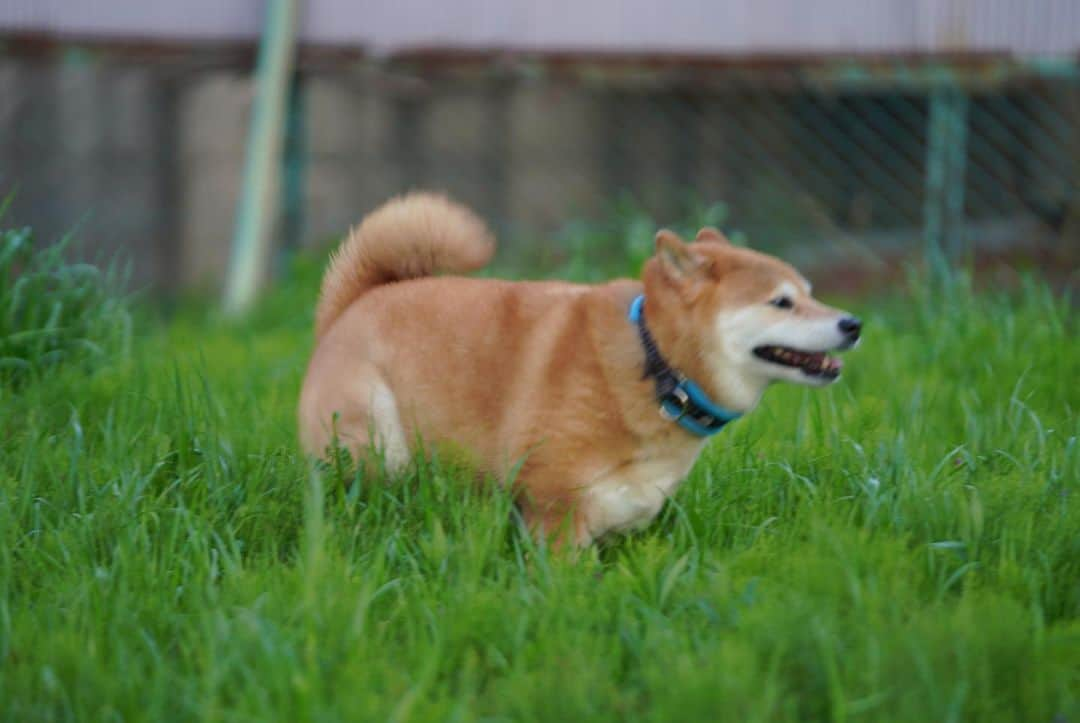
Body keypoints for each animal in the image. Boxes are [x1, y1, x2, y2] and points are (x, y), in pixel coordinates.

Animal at [298, 194, 859, 544]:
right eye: (781, 302)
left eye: (810, 293)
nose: (853, 323)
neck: (655, 365)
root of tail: (350, 307)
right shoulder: (555, 509)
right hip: (377, 445)